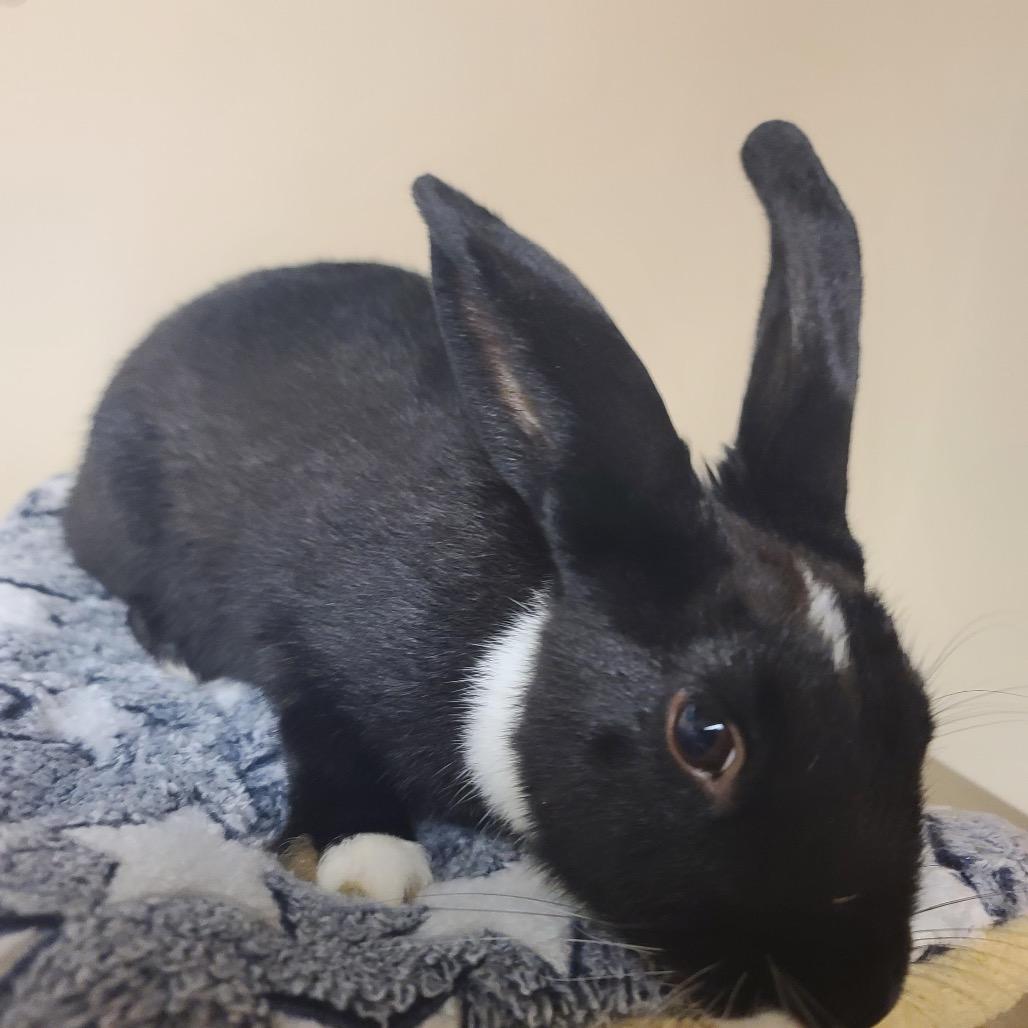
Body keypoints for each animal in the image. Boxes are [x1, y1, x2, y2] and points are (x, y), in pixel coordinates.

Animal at [64, 120, 933, 1027]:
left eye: (920, 717)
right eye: (704, 735)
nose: (861, 998)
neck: (515, 643)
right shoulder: (306, 655)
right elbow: (322, 739)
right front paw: (370, 863)